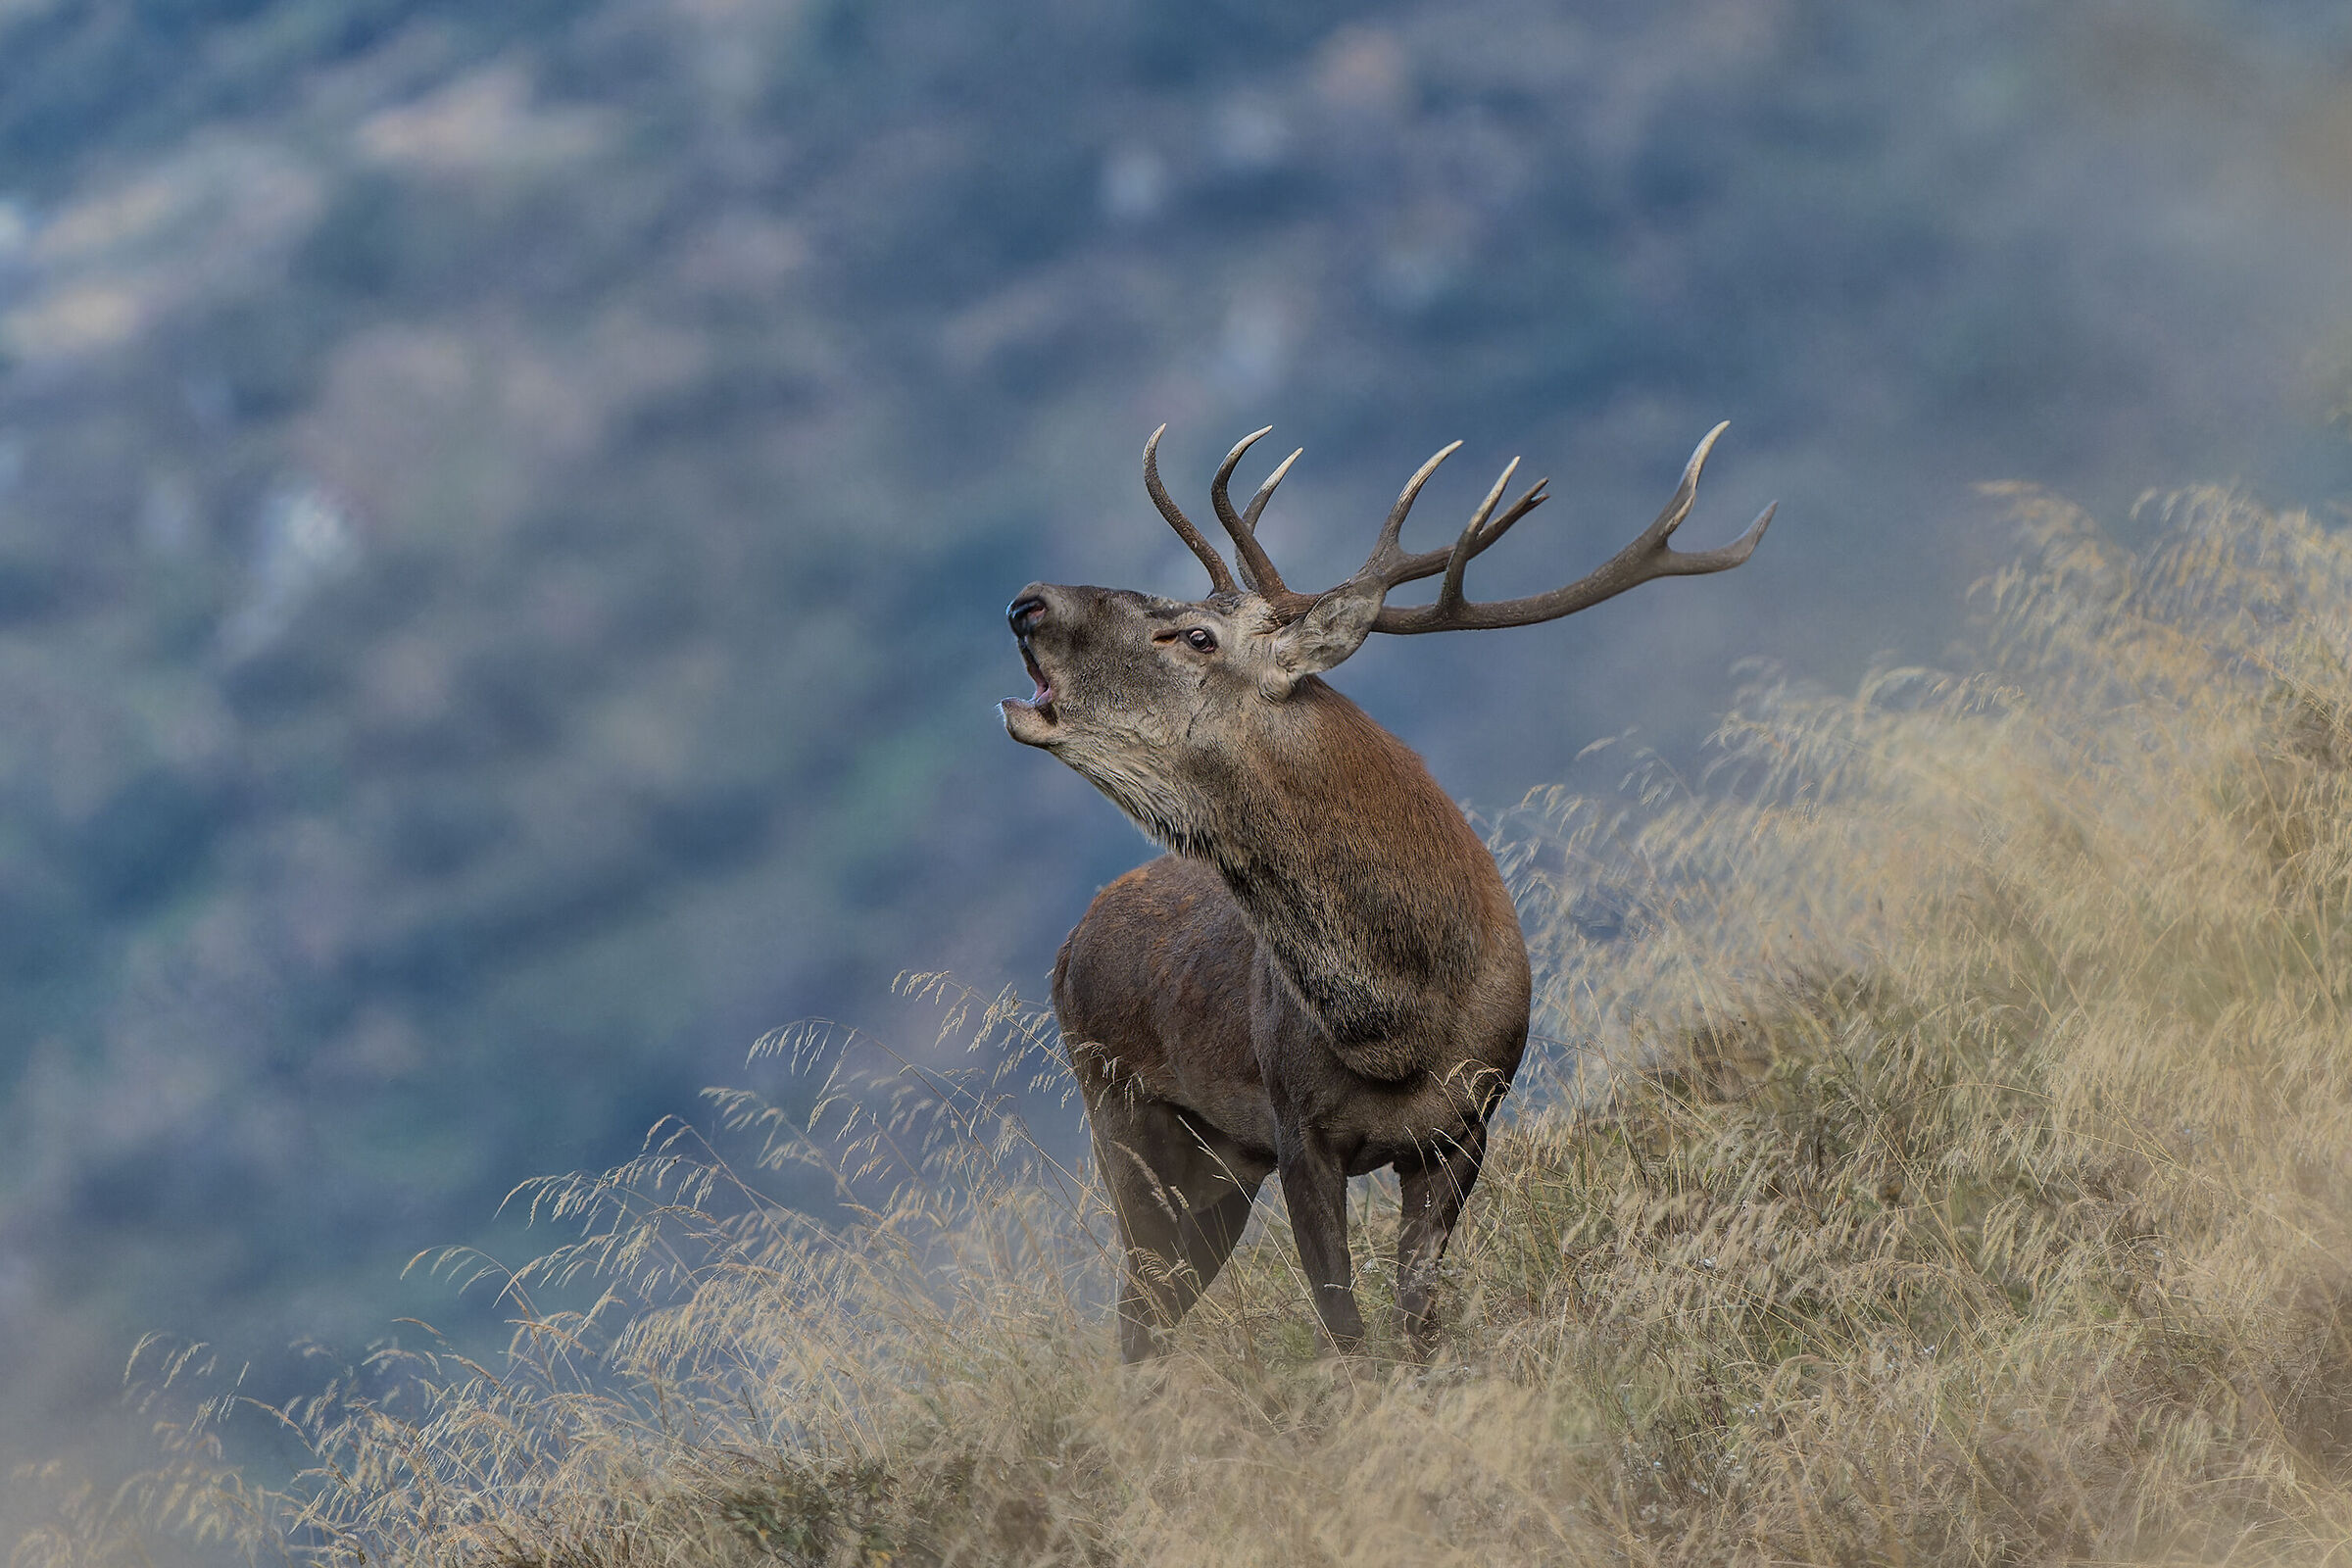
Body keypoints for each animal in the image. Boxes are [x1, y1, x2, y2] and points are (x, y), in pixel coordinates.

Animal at [1001, 422, 1773, 1361]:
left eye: (1195, 636)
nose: (1029, 600)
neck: (1399, 1022)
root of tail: (1069, 945)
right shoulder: (1299, 1133)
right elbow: (1346, 1328)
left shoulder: (1466, 1125)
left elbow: (1415, 1315)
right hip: (1125, 1121)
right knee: (1138, 1315)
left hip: (1216, 1167)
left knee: (1150, 1308)